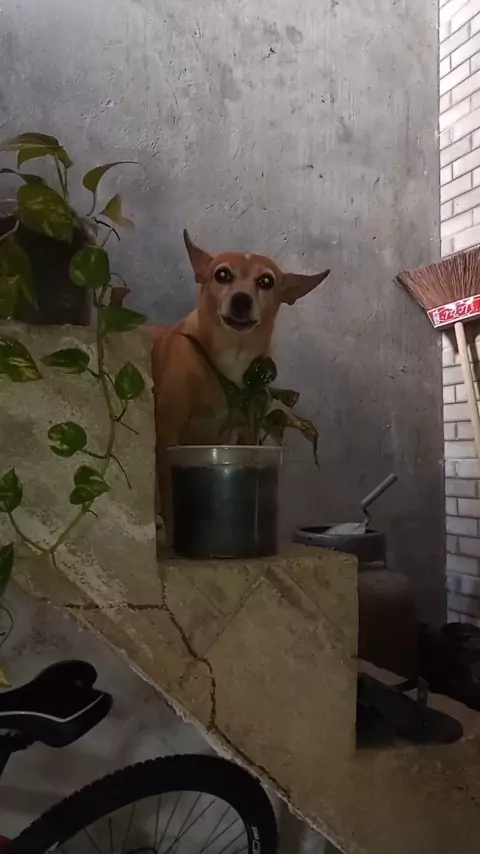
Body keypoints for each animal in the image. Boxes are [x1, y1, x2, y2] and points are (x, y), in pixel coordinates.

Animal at [151, 230, 330, 531]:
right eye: (222, 275)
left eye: (266, 281)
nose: (241, 299)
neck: (231, 355)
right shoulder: (167, 433)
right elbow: (169, 493)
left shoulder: (247, 427)